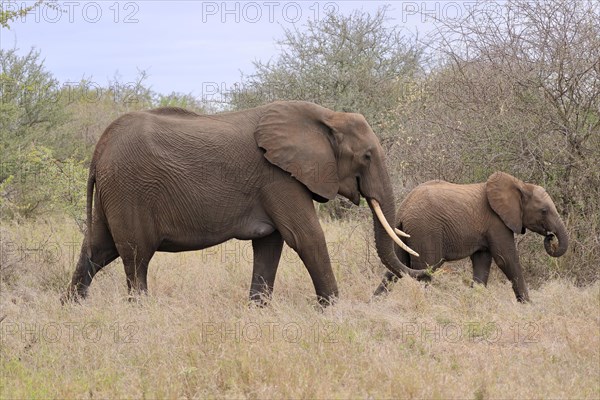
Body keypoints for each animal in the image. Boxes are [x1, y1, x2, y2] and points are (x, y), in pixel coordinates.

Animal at [63, 101, 428, 306]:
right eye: (366, 156)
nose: (427, 276)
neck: (326, 116)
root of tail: (100, 147)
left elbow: (270, 245)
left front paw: (257, 311)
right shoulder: (279, 177)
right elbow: (306, 237)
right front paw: (334, 312)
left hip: (114, 191)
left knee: (98, 249)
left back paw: (71, 308)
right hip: (130, 189)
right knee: (136, 257)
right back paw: (140, 313)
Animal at [372, 170, 568, 302]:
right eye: (544, 211)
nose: (550, 237)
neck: (521, 185)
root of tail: (403, 210)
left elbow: (482, 262)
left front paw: (476, 303)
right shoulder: (497, 222)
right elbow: (506, 259)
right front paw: (528, 305)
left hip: (403, 232)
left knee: (397, 267)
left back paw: (375, 303)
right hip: (425, 230)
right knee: (425, 268)